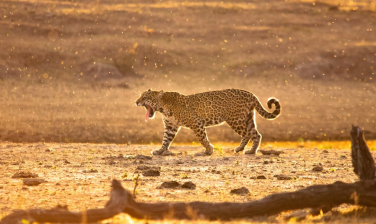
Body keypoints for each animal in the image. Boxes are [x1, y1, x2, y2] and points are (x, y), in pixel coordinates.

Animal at [137, 89, 280, 156]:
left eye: (145, 97)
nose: (136, 102)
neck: (163, 107)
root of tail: (251, 94)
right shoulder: (171, 126)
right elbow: (166, 140)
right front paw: (159, 151)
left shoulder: (196, 123)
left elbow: (202, 138)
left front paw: (208, 151)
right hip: (248, 118)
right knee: (256, 134)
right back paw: (251, 151)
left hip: (235, 119)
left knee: (247, 134)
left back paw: (240, 148)